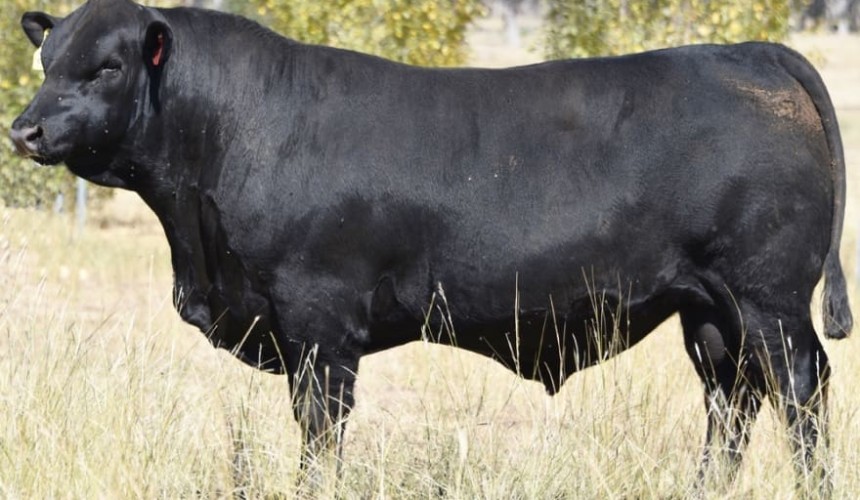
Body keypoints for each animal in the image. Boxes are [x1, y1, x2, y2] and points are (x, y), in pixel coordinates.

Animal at [9, 0, 852, 492]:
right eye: (47, 61)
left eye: (108, 65)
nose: (25, 128)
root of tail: (749, 51)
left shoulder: (319, 322)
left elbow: (320, 430)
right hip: (708, 308)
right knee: (731, 398)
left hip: (768, 298)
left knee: (799, 388)